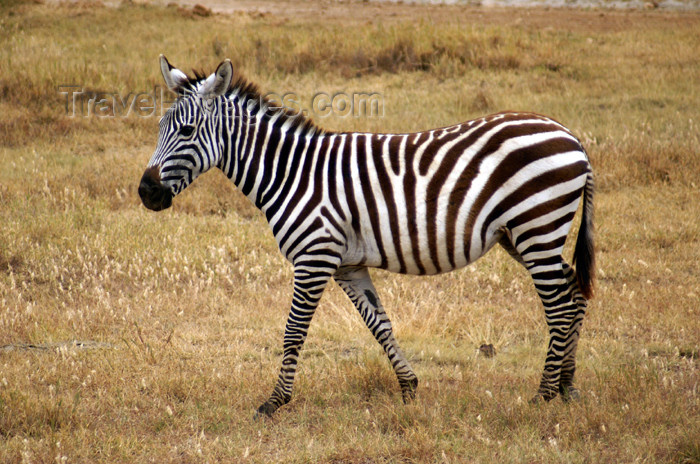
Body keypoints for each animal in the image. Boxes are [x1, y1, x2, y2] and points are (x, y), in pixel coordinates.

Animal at [138, 56, 596, 418]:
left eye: (187, 131)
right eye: (159, 127)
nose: (146, 192)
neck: (291, 174)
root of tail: (571, 136)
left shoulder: (314, 257)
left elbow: (293, 331)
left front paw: (275, 401)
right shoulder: (348, 265)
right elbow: (380, 324)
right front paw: (409, 387)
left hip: (536, 227)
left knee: (558, 306)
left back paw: (544, 394)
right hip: (523, 236)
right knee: (574, 292)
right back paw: (568, 387)